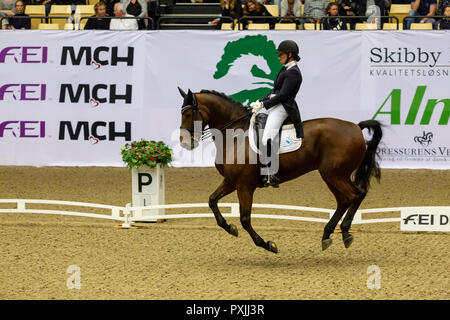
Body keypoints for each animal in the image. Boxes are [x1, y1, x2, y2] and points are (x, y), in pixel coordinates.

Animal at [178, 89, 382, 254]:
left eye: (188, 113)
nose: (185, 143)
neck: (235, 135)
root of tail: (356, 127)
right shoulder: (231, 181)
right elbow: (212, 201)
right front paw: (230, 228)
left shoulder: (244, 185)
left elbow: (245, 219)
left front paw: (267, 244)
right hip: (331, 176)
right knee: (344, 200)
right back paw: (327, 235)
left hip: (335, 174)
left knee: (356, 195)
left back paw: (346, 232)